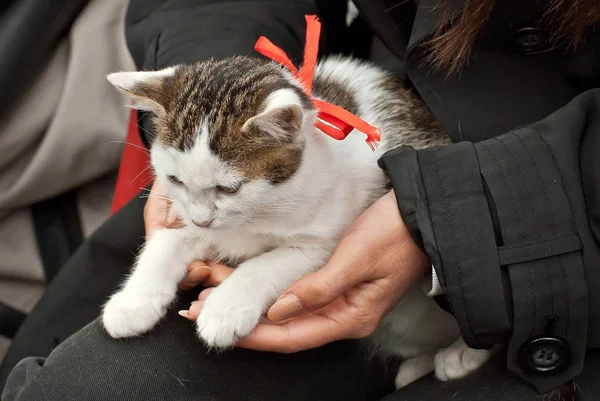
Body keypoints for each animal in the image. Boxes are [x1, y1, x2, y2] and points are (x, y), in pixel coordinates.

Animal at [103, 54, 494, 386]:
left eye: (229, 188)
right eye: (175, 180)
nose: (202, 220)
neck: (261, 207)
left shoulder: (325, 241)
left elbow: (266, 265)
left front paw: (226, 309)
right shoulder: (194, 219)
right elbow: (167, 242)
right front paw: (132, 304)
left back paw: (462, 355)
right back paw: (417, 365)